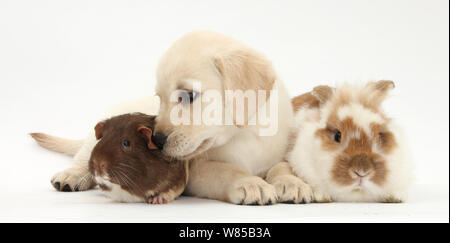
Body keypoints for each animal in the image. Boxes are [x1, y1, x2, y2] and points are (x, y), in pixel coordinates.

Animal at [32, 30, 298, 205]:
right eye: (160, 97)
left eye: (188, 96)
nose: (157, 141)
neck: (244, 134)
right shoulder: (196, 172)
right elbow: (226, 171)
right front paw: (251, 183)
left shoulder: (278, 150)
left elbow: (282, 165)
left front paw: (291, 183)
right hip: (93, 141)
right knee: (82, 157)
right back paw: (71, 175)